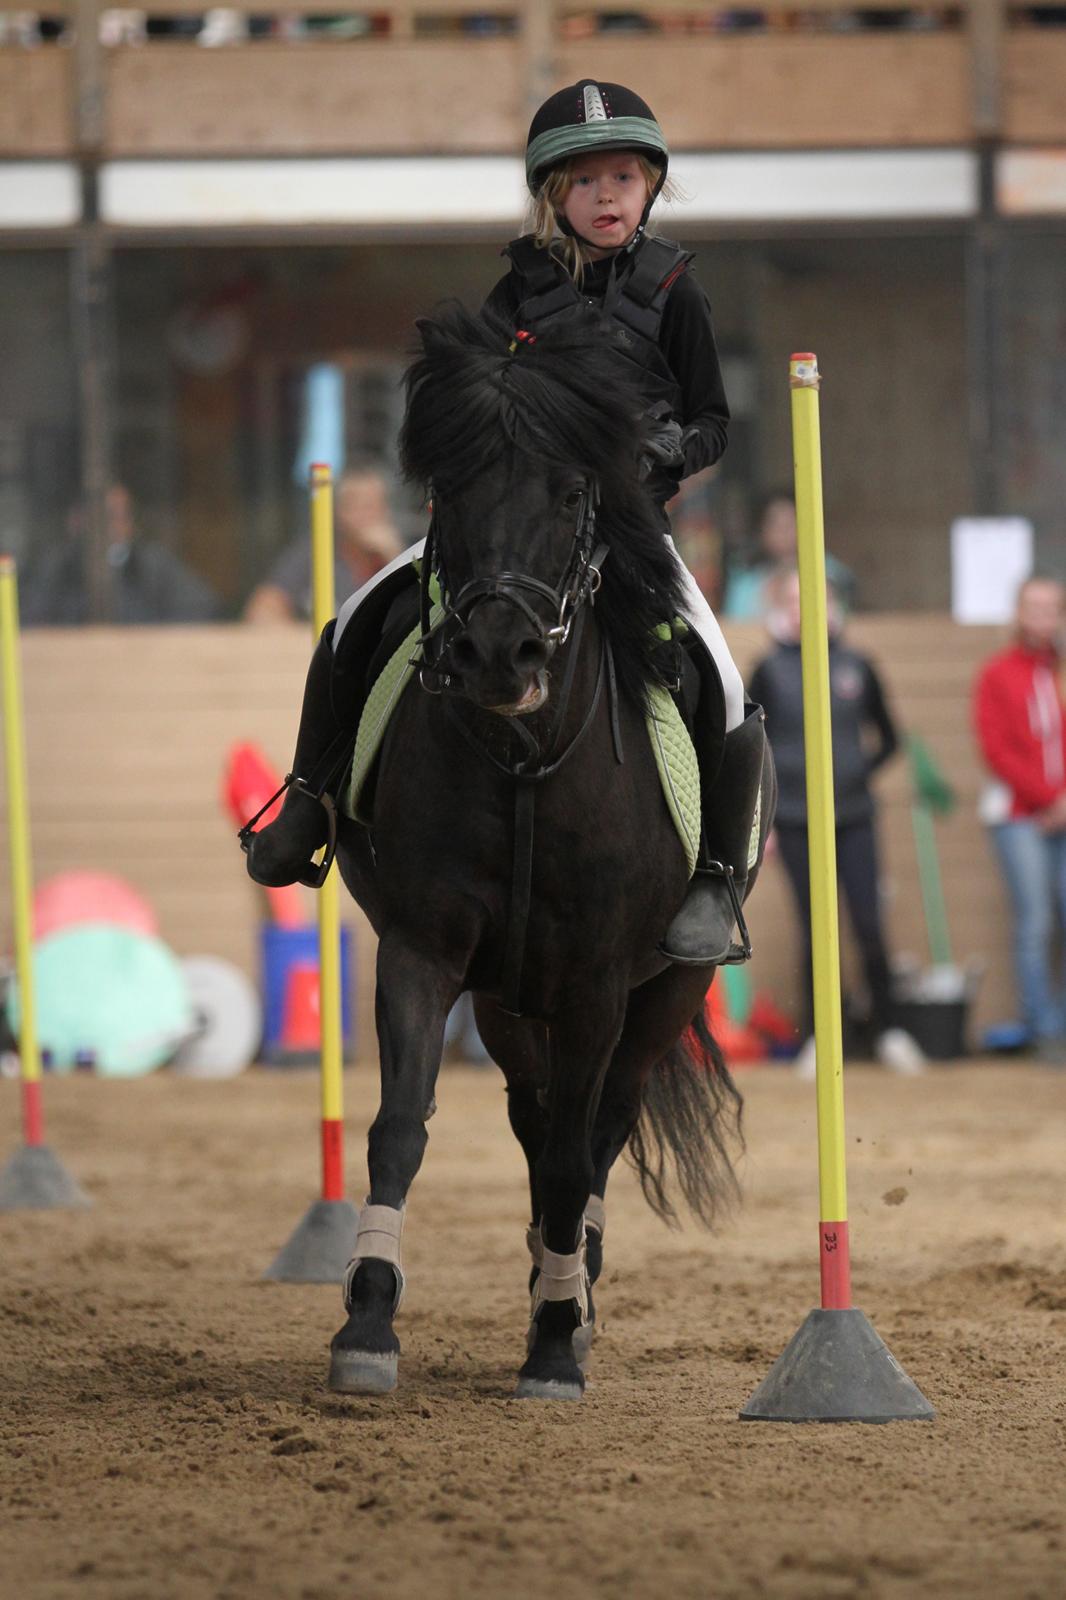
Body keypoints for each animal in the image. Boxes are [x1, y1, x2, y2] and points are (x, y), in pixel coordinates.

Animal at [326, 305, 774, 1401]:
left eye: (573, 492)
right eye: (449, 487)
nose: (500, 654)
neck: (524, 757)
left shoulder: (597, 982)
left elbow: (578, 1157)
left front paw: (557, 1341)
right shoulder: (425, 951)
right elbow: (401, 1126)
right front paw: (368, 1321)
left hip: (665, 990)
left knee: (597, 1127)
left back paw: (572, 1294)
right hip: (506, 997)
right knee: (534, 1122)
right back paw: (545, 1273)